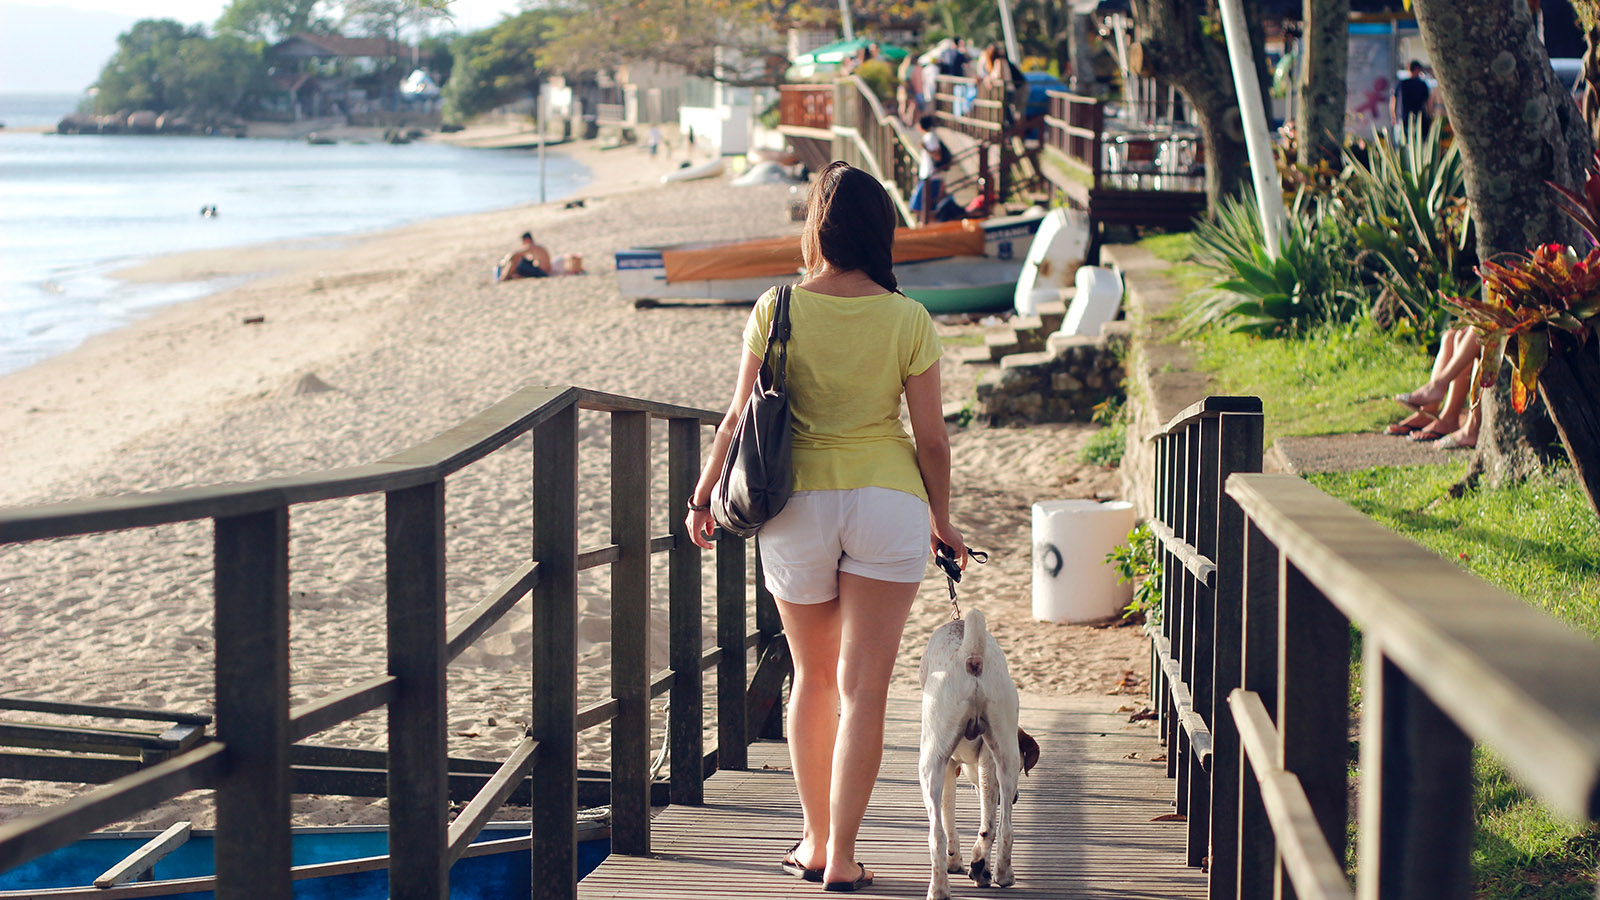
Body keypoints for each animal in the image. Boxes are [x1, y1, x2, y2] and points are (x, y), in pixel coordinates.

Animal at [921, 605, 1043, 890]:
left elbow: (948, 820)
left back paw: (941, 888)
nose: (1017, 797)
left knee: (937, 833)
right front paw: (980, 866)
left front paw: (955, 861)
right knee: (1002, 827)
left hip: (929, 764)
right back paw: (998, 874)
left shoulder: (948, 766)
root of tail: (972, 657)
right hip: (1003, 755)